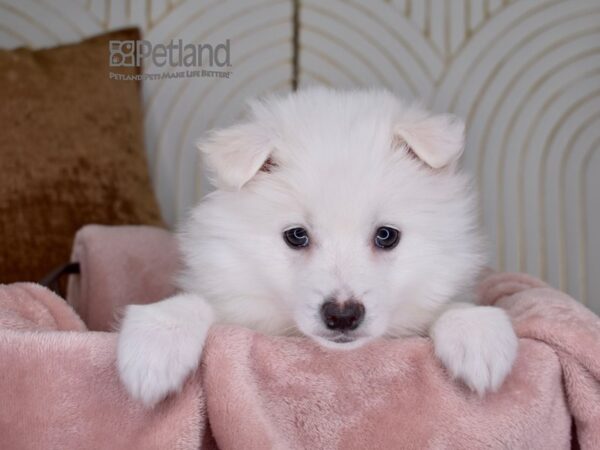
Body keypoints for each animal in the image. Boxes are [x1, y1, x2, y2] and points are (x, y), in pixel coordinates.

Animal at [118, 88, 520, 408]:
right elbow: (193, 303)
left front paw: (478, 334)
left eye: (386, 235)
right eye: (296, 235)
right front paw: (155, 346)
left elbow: (450, 305)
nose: (342, 316)